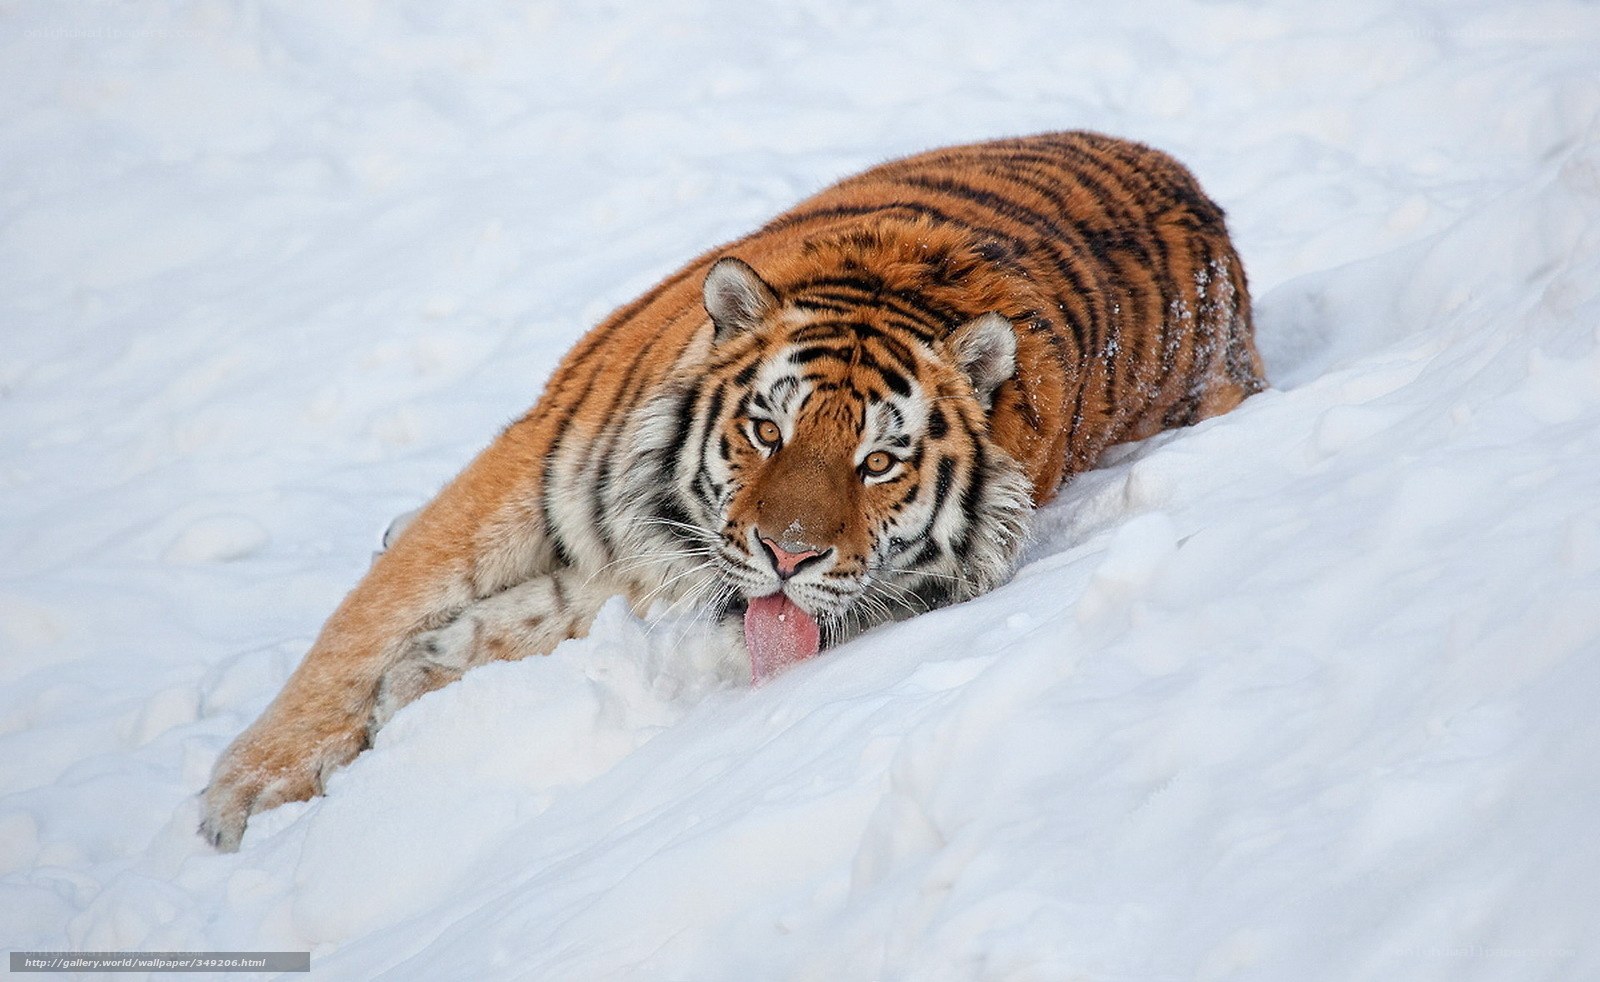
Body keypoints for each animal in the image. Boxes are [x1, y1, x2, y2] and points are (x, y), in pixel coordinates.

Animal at [200, 131, 1266, 851]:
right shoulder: (534, 468)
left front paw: (420, 677)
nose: (788, 554)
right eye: (766, 431)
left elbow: (513, 617)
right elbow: (363, 624)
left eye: (879, 464)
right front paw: (243, 795)